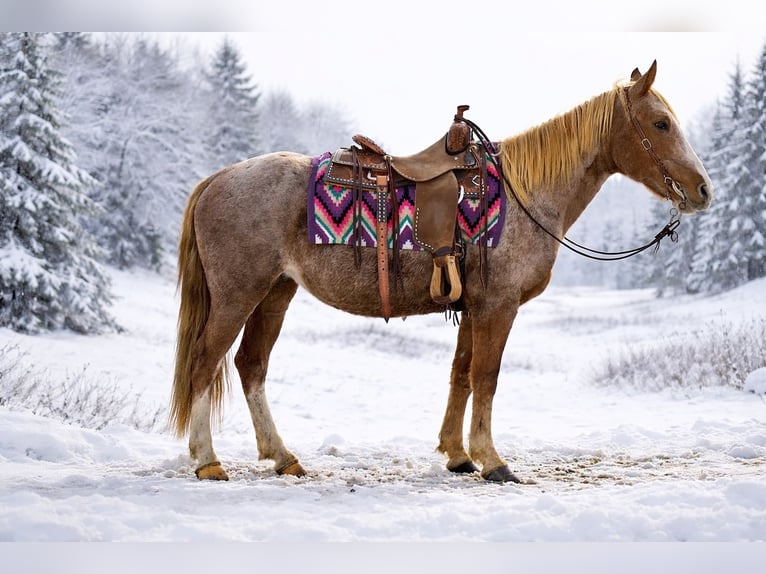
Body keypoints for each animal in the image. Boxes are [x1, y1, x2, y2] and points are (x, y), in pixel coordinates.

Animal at [169, 61, 712, 483]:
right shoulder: (498, 307)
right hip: (239, 295)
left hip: (276, 293)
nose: (703, 189)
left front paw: (457, 454)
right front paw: (493, 460)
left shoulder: (473, 308)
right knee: (205, 362)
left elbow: (462, 374)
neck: (524, 195)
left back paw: (283, 457)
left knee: (250, 366)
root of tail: (217, 178)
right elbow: (487, 377)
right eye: (661, 123)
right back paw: (208, 461)